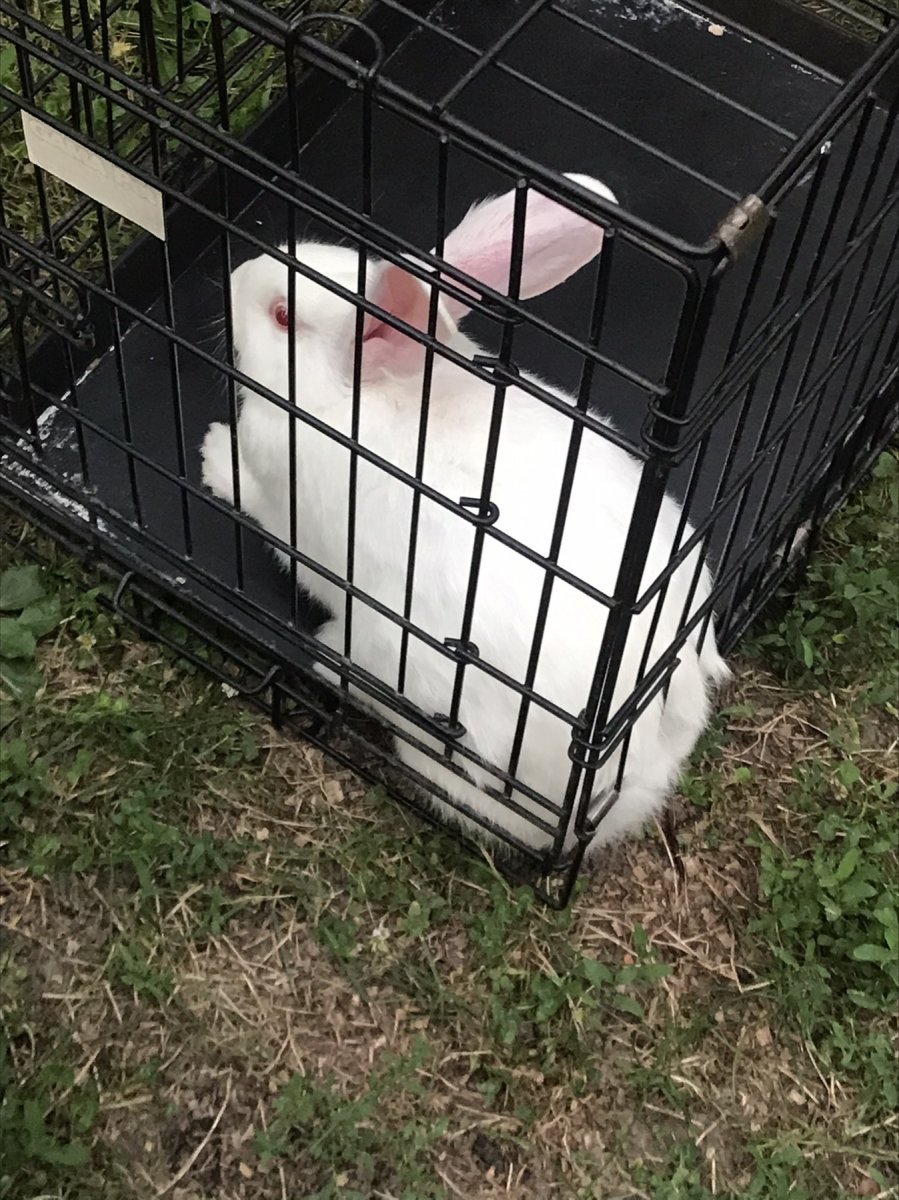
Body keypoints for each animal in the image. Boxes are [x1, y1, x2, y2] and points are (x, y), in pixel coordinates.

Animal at [201, 173, 730, 861]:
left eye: (282, 316)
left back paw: (328, 654)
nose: (237, 273)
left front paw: (212, 454)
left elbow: (251, 496)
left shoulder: (283, 502)